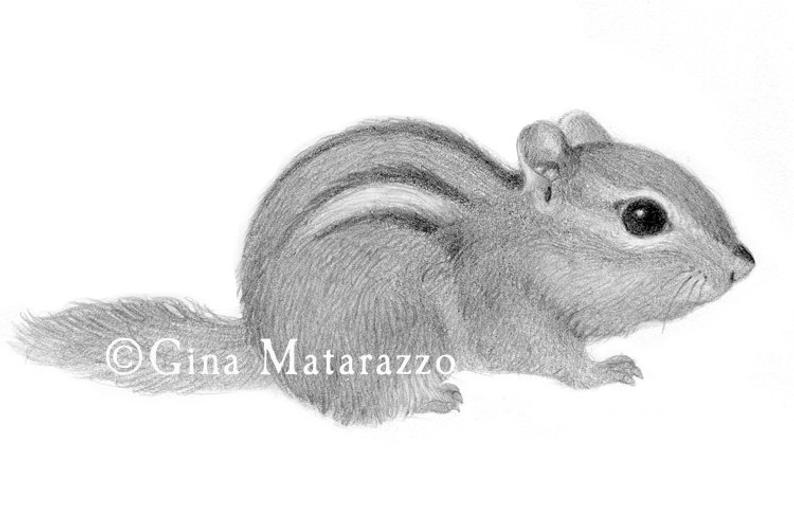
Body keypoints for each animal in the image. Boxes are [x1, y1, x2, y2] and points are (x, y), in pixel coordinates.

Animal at [16, 111, 755, 424]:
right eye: (643, 217)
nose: (744, 266)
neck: (524, 238)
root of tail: (264, 344)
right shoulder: (501, 306)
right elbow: (545, 354)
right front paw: (604, 372)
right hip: (387, 327)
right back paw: (428, 399)